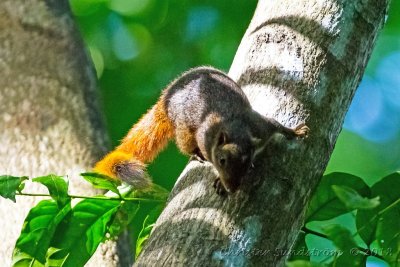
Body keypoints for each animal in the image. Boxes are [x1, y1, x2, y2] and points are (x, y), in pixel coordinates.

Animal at [94, 66, 310, 195]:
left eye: (247, 164)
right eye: (222, 161)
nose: (232, 188)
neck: (237, 128)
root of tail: (165, 100)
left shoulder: (261, 126)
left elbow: (276, 125)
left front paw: (295, 132)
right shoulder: (206, 138)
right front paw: (219, 181)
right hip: (183, 127)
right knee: (184, 143)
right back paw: (195, 153)